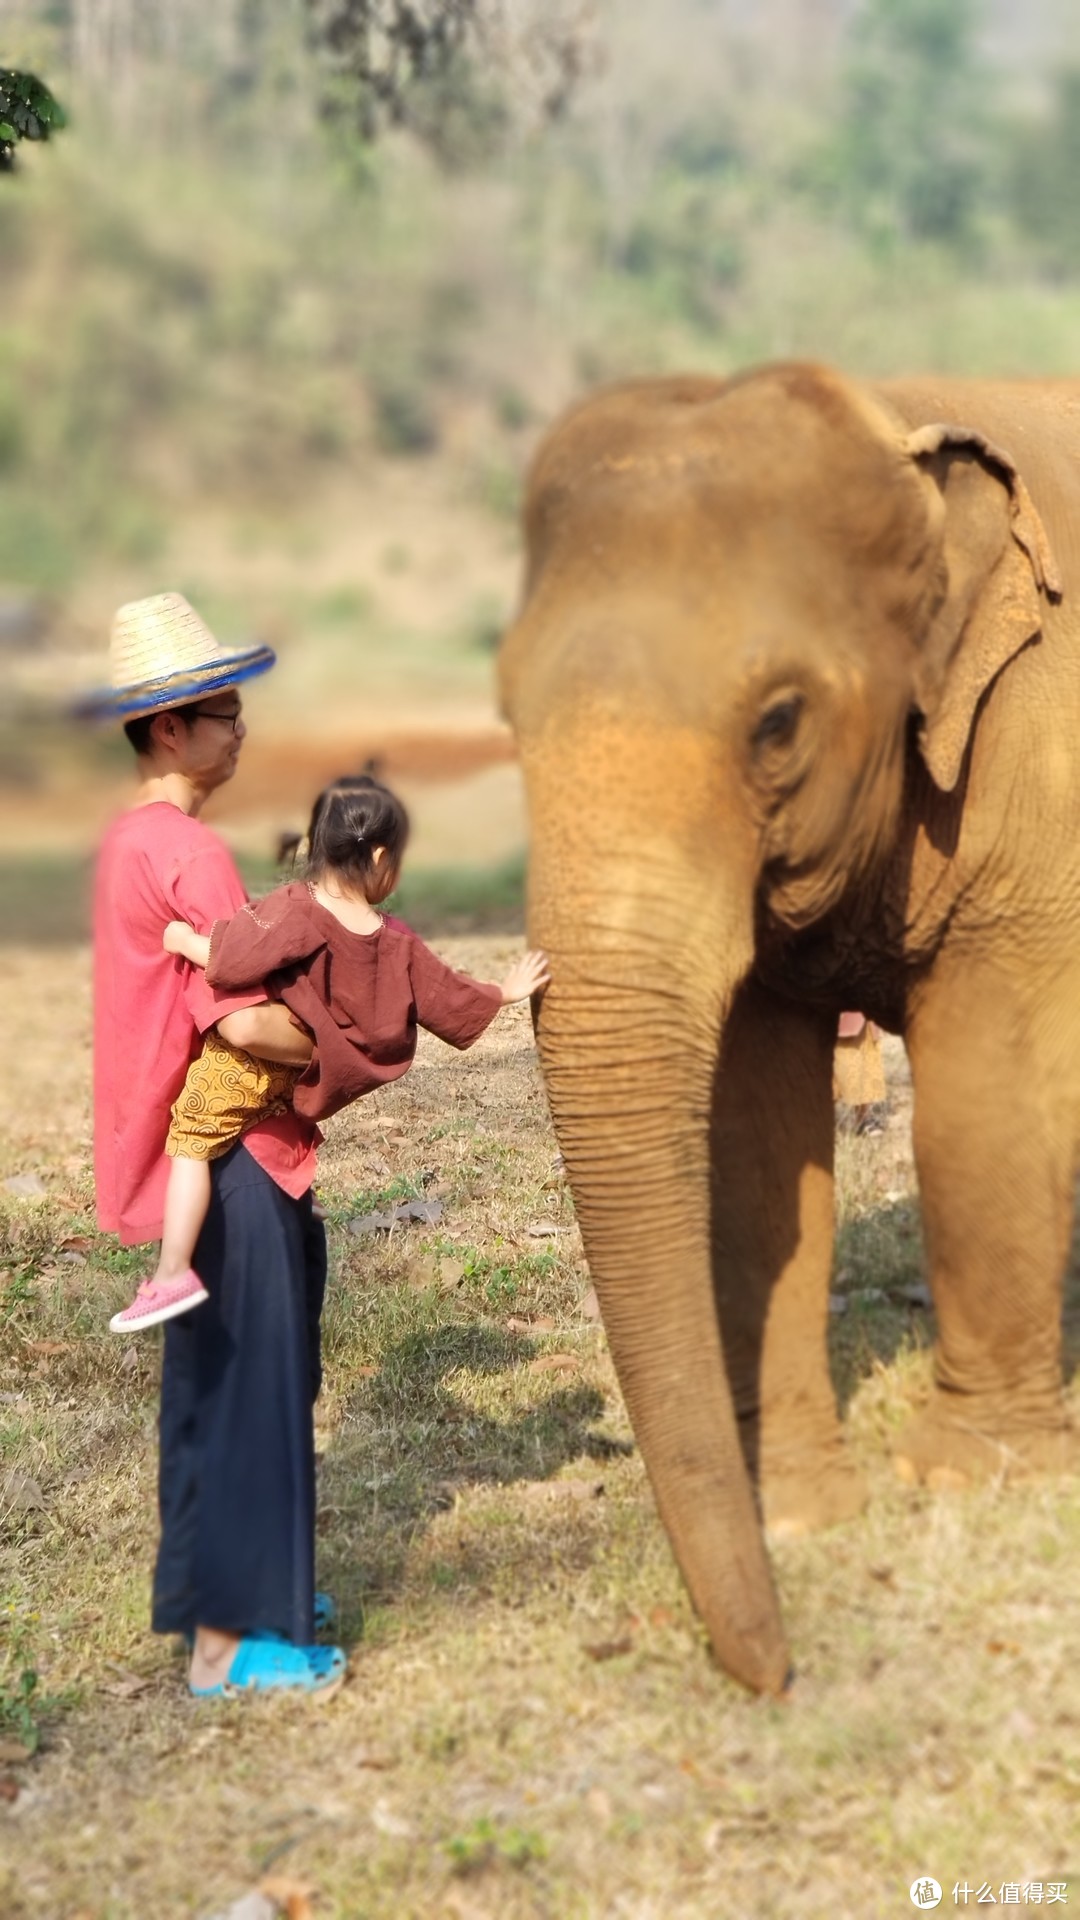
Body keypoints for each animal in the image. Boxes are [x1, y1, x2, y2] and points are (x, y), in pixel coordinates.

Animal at [495, 360, 1076, 1697]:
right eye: (505, 719)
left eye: (777, 723)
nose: (777, 1671)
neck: (896, 416)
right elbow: (754, 1142)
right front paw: (804, 1511)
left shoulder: (1034, 766)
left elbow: (989, 1093)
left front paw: (969, 1476)